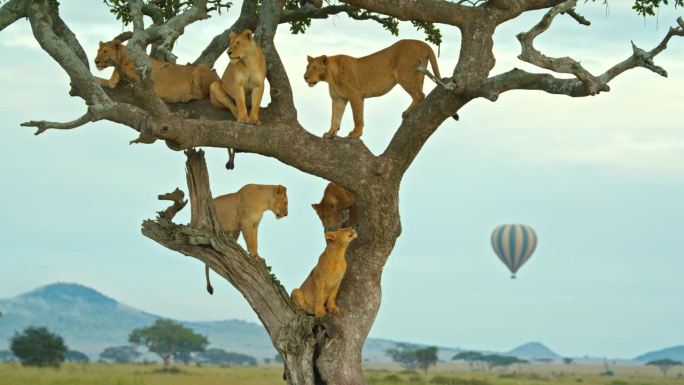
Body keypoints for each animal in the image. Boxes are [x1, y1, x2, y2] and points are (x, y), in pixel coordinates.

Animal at [306, 38, 444, 138]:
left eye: (314, 67)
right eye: (307, 67)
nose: (305, 77)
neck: (330, 77)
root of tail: (422, 43)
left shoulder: (355, 96)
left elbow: (357, 116)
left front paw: (356, 133)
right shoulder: (338, 99)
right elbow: (335, 117)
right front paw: (330, 133)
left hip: (404, 74)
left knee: (420, 94)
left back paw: (407, 112)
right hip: (418, 74)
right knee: (420, 93)